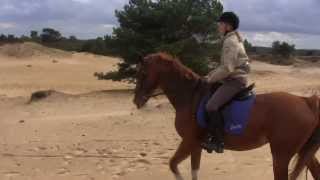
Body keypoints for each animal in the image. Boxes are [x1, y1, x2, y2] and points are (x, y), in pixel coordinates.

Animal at [132, 52, 320, 180]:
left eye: (143, 74)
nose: (136, 101)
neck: (190, 97)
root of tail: (306, 101)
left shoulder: (189, 141)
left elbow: (173, 165)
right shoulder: (196, 145)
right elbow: (193, 171)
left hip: (281, 156)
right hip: (302, 150)